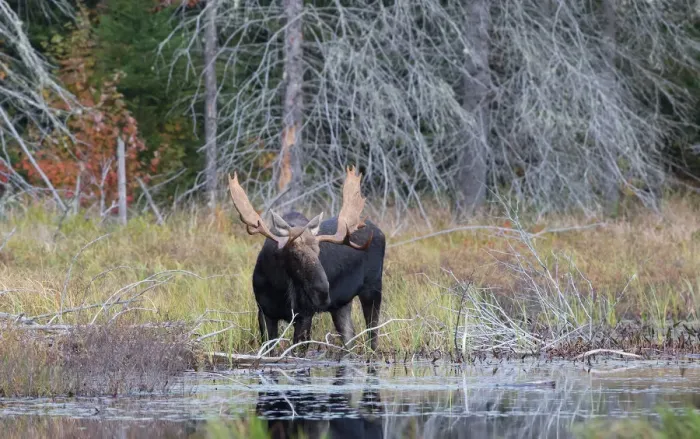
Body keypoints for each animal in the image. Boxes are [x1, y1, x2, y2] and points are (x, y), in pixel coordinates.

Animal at [228, 166, 386, 354]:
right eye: (295, 254)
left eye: (318, 251)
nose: (323, 294)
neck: (279, 288)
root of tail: (379, 231)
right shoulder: (264, 312)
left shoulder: (305, 314)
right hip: (341, 304)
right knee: (349, 336)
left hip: (373, 287)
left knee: (373, 335)